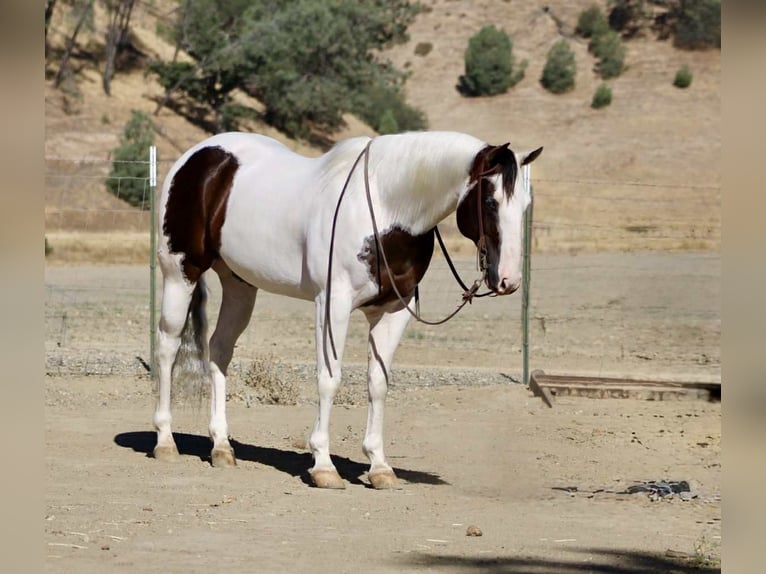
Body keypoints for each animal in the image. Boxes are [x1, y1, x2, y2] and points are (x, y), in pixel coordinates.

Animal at [153, 130, 542, 489]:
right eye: (489, 201)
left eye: (525, 204)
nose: (508, 280)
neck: (386, 209)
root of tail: (195, 157)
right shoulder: (332, 305)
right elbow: (329, 379)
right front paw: (323, 466)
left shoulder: (394, 311)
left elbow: (378, 383)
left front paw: (379, 466)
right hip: (180, 273)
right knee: (168, 348)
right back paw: (165, 441)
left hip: (239, 285)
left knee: (219, 350)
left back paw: (221, 447)